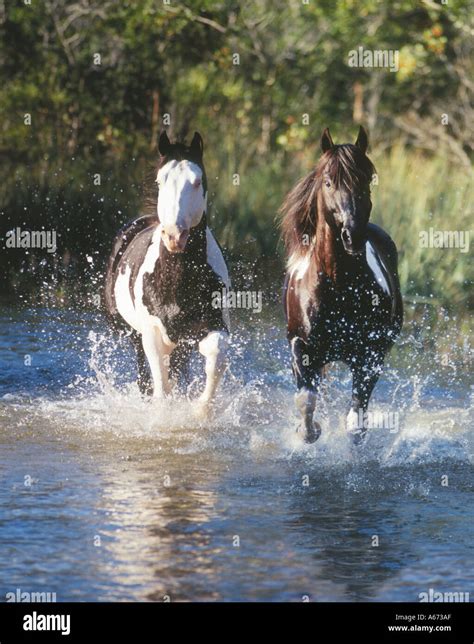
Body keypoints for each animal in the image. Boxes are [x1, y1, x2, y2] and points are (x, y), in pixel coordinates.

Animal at [105, 131, 230, 418]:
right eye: (160, 180)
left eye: (197, 181)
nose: (174, 235)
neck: (176, 282)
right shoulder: (152, 334)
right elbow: (160, 385)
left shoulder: (211, 326)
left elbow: (214, 358)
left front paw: (200, 411)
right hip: (134, 335)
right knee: (146, 377)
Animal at [282, 128, 404, 446]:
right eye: (328, 182)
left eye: (367, 180)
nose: (353, 235)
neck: (338, 287)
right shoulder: (301, 345)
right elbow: (306, 398)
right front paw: (309, 431)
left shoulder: (370, 355)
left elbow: (356, 419)